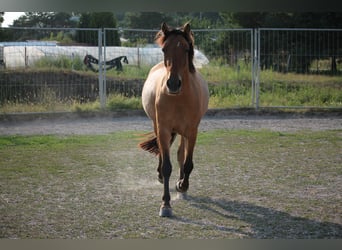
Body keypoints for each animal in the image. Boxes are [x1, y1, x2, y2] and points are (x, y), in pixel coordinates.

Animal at [138, 22, 208, 216]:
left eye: (186, 49)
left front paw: (182, 186)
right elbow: (167, 166)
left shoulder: (192, 131)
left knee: (180, 154)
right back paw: (161, 177)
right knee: (164, 153)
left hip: (183, 132)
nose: (173, 84)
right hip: (158, 126)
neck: (179, 98)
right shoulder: (163, 129)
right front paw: (166, 204)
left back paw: (182, 186)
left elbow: (187, 162)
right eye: (164, 49)